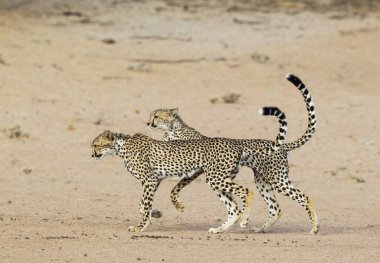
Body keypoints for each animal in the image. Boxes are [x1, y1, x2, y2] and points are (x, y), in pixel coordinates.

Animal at [93, 106, 288, 234]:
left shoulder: (150, 180)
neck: (121, 146)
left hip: (216, 178)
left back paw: (244, 221)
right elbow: (142, 204)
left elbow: (146, 203)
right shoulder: (155, 179)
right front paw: (153, 214)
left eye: (96, 145)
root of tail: (235, 143)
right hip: (218, 179)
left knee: (246, 191)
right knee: (234, 207)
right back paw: (222, 228)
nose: (92, 154)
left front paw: (140, 227)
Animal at [147, 74, 320, 235]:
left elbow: (174, 189)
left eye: (156, 116)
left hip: (273, 179)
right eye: (151, 115)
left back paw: (314, 228)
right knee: (270, 208)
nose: (148, 123)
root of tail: (282, 146)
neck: (172, 130)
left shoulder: (193, 170)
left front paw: (178, 205)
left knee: (303, 197)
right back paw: (251, 228)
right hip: (258, 181)